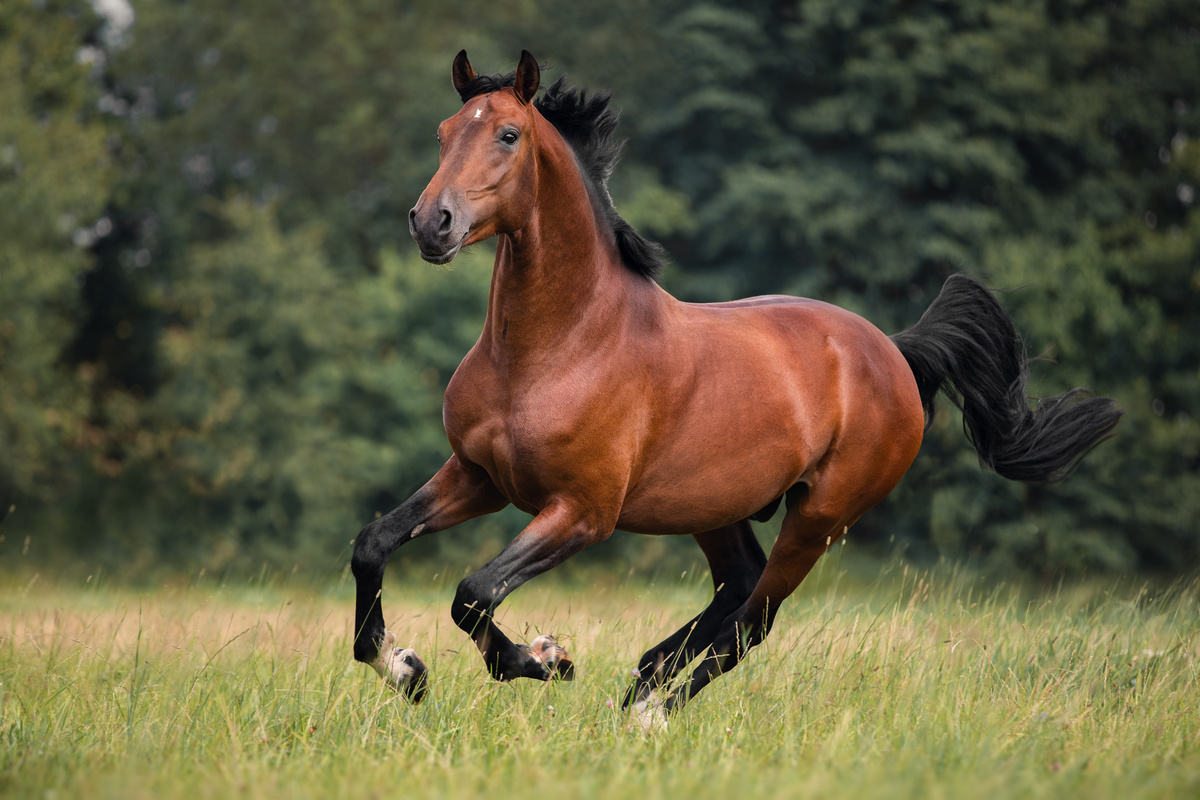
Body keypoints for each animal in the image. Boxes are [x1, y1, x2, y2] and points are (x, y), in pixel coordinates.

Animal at [350, 50, 1123, 724]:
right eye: (445, 132)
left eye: (508, 134)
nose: (432, 223)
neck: (558, 347)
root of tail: (896, 354)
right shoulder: (479, 475)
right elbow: (375, 543)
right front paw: (403, 668)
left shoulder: (583, 512)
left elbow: (475, 591)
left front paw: (546, 658)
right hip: (714, 507)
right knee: (737, 586)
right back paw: (643, 679)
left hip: (818, 518)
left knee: (753, 621)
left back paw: (651, 712)